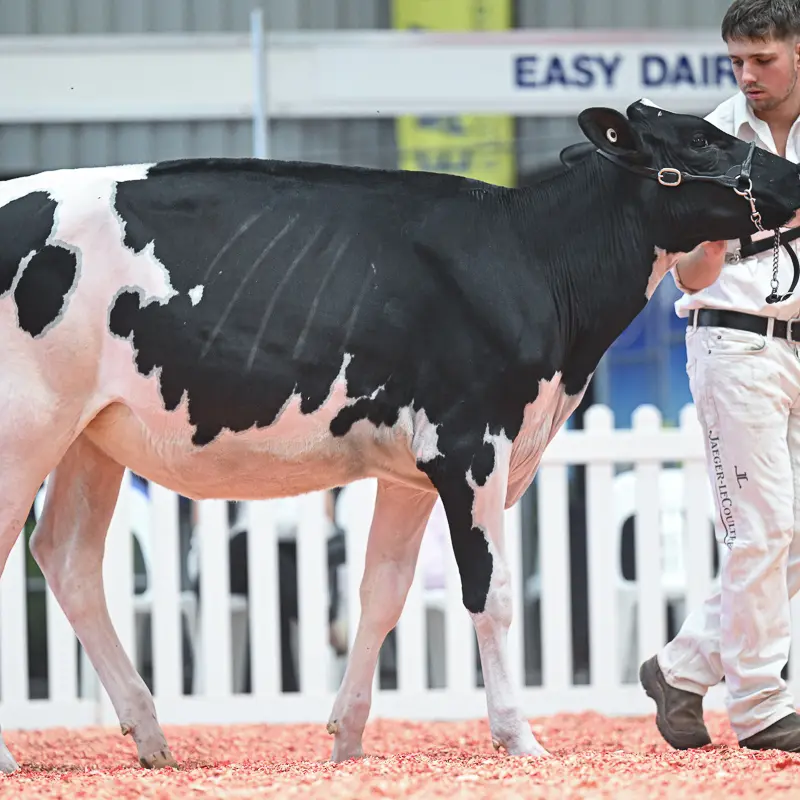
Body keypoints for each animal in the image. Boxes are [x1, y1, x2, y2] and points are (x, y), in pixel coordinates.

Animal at [0, 98, 798, 773]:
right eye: (702, 138)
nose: (793, 178)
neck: (536, 262)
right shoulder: (472, 446)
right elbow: (491, 593)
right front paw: (520, 738)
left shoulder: (409, 470)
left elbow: (382, 592)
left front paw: (348, 740)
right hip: (27, 428)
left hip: (90, 437)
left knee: (66, 557)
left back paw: (152, 737)